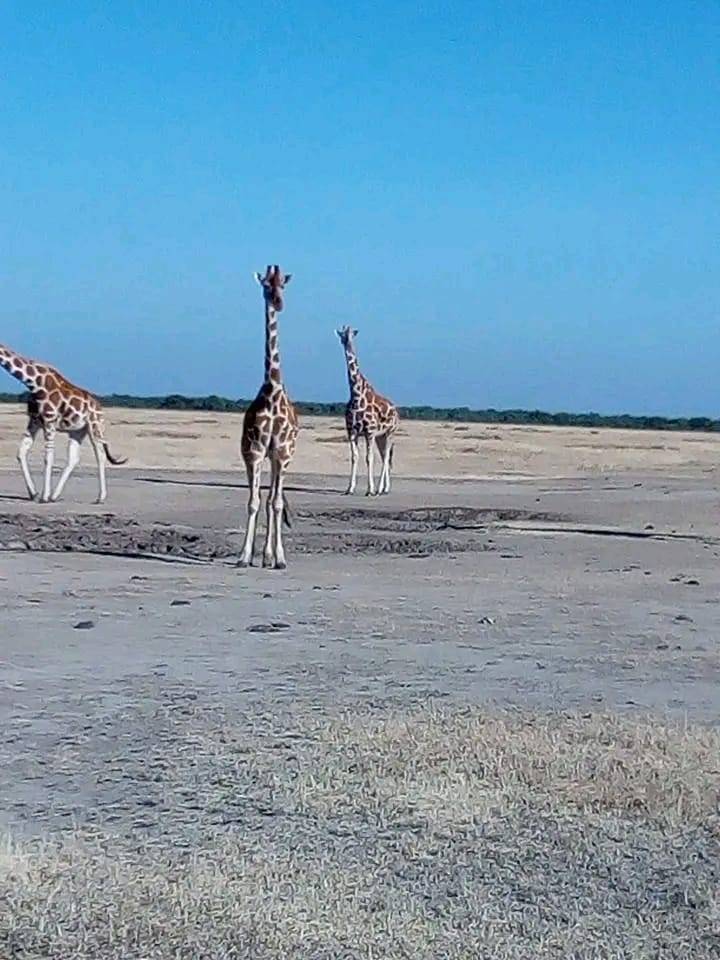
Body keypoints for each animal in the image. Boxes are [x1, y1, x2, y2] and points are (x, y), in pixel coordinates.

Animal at [0, 343, 127, 503]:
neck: (34, 383)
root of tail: (99, 407)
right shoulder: (34, 420)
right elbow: (21, 453)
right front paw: (34, 493)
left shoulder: (49, 420)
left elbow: (48, 458)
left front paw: (44, 497)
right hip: (78, 431)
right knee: (73, 458)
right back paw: (55, 495)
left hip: (95, 426)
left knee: (100, 455)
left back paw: (100, 497)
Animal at [336, 325, 399, 496]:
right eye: (342, 335)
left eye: (352, 334)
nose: (347, 342)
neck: (356, 395)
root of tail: (397, 412)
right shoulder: (351, 431)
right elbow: (354, 457)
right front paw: (349, 488)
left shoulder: (369, 431)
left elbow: (369, 458)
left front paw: (370, 490)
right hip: (380, 437)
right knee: (384, 456)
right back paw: (384, 488)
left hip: (389, 433)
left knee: (385, 458)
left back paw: (379, 489)